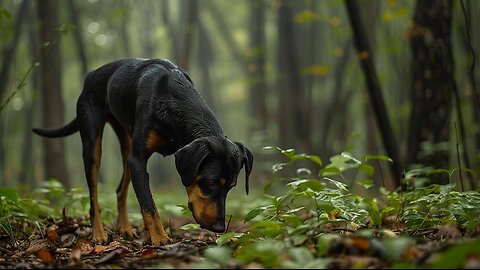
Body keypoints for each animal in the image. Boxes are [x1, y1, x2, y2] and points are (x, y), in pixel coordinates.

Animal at [32, 58, 253, 246]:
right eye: (210, 182)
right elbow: (149, 205)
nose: (219, 227)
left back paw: (125, 228)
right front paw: (160, 238)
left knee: (120, 189)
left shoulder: (137, 160)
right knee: (94, 195)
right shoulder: (138, 160)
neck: (172, 98)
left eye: (231, 187)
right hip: (93, 144)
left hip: (126, 145)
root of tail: (91, 76)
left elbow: (144, 199)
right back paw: (99, 233)